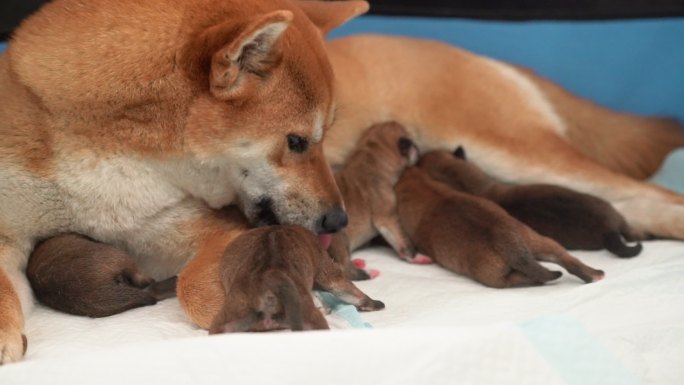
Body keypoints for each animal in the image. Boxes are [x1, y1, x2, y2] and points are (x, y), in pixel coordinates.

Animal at [328, 121, 430, 280]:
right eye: (413, 144)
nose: (419, 150)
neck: (370, 159)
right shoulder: (387, 217)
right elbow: (401, 238)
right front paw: (415, 256)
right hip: (338, 237)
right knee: (345, 269)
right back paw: (367, 273)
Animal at [392, 166, 608, 286]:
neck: (420, 187)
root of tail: (512, 246)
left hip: (492, 276)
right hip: (539, 240)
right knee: (566, 259)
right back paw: (593, 274)